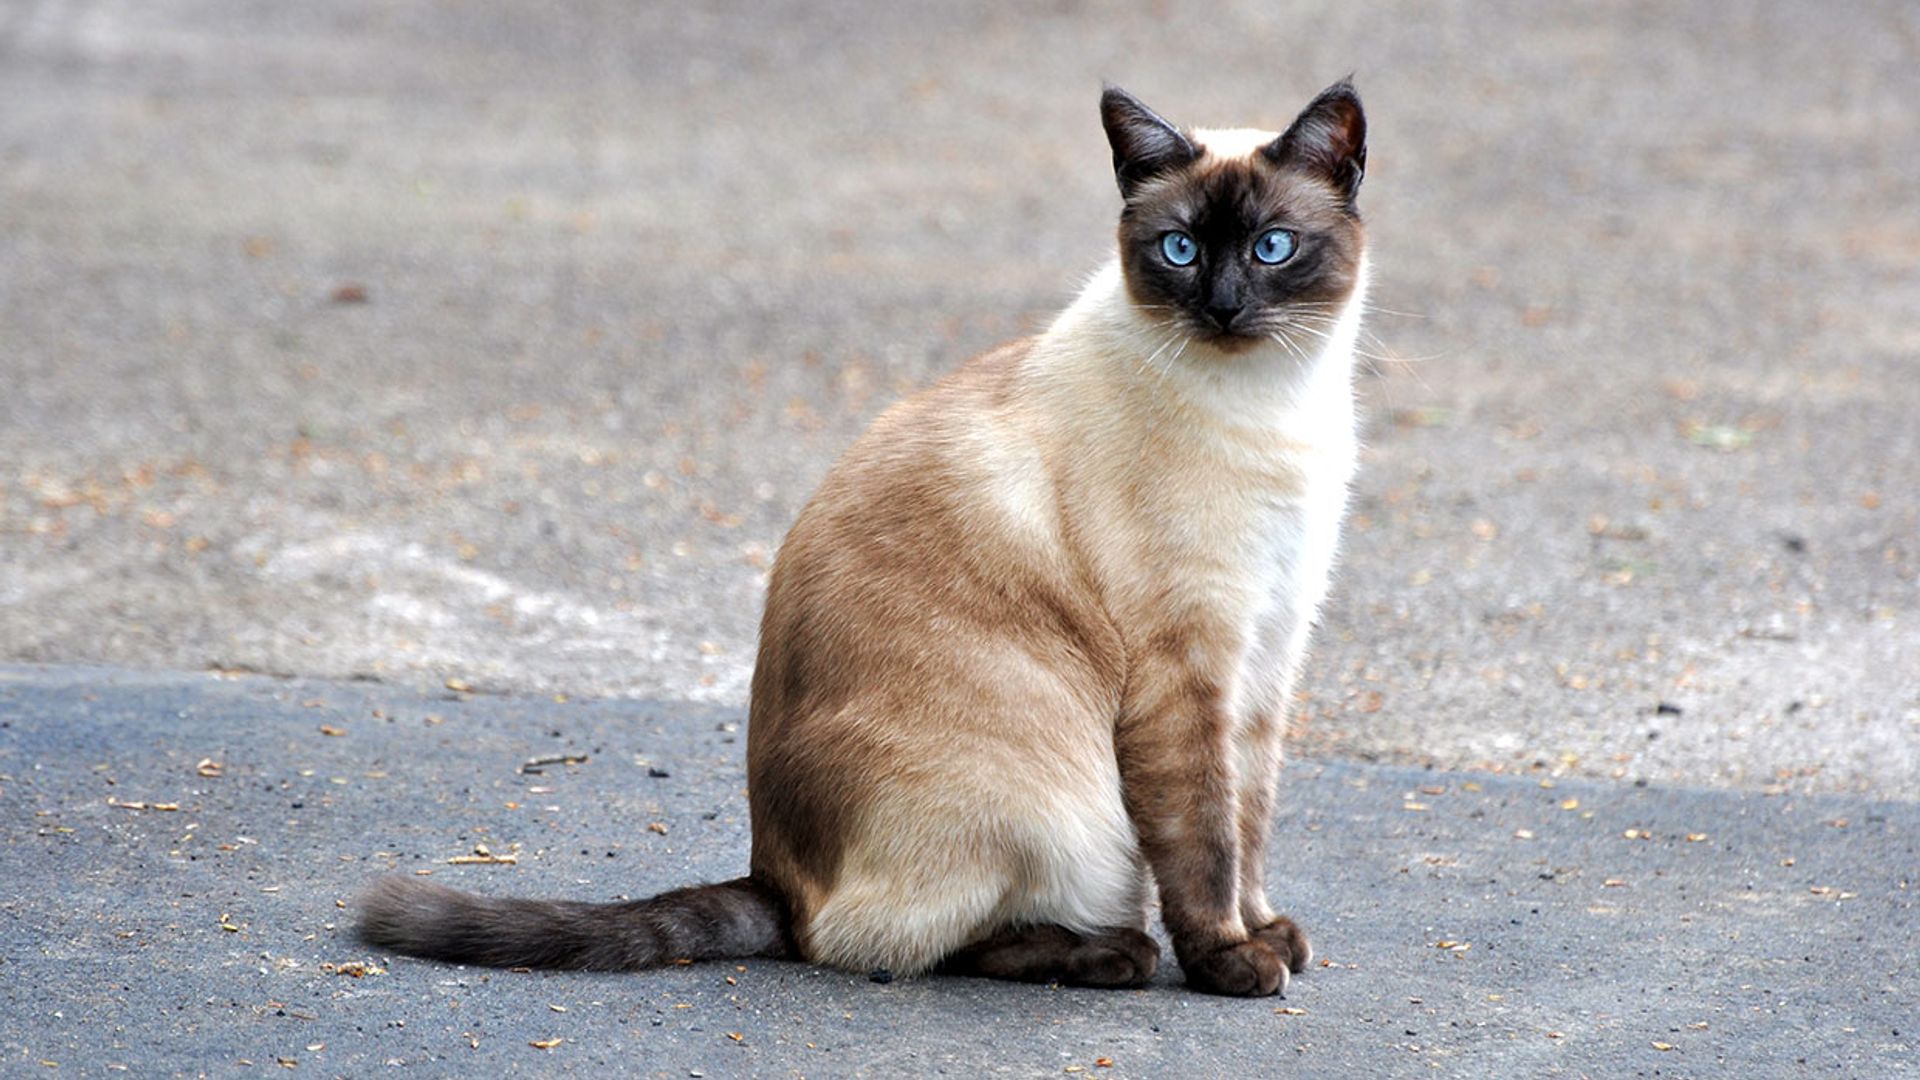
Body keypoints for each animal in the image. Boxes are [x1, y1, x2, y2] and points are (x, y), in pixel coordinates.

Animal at [360, 79, 1374, 999]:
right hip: (1054, 803)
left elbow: (1250, 820)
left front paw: (1267, 932)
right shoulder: (1188, 668)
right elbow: (1204, 840)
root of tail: (775, 877)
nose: (1225, 306)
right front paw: (1233, 963)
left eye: (1272, 247)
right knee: (901, 946)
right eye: (1180, 250)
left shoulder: (1267, 655)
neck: (1275, 410)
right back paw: (1113, 956)